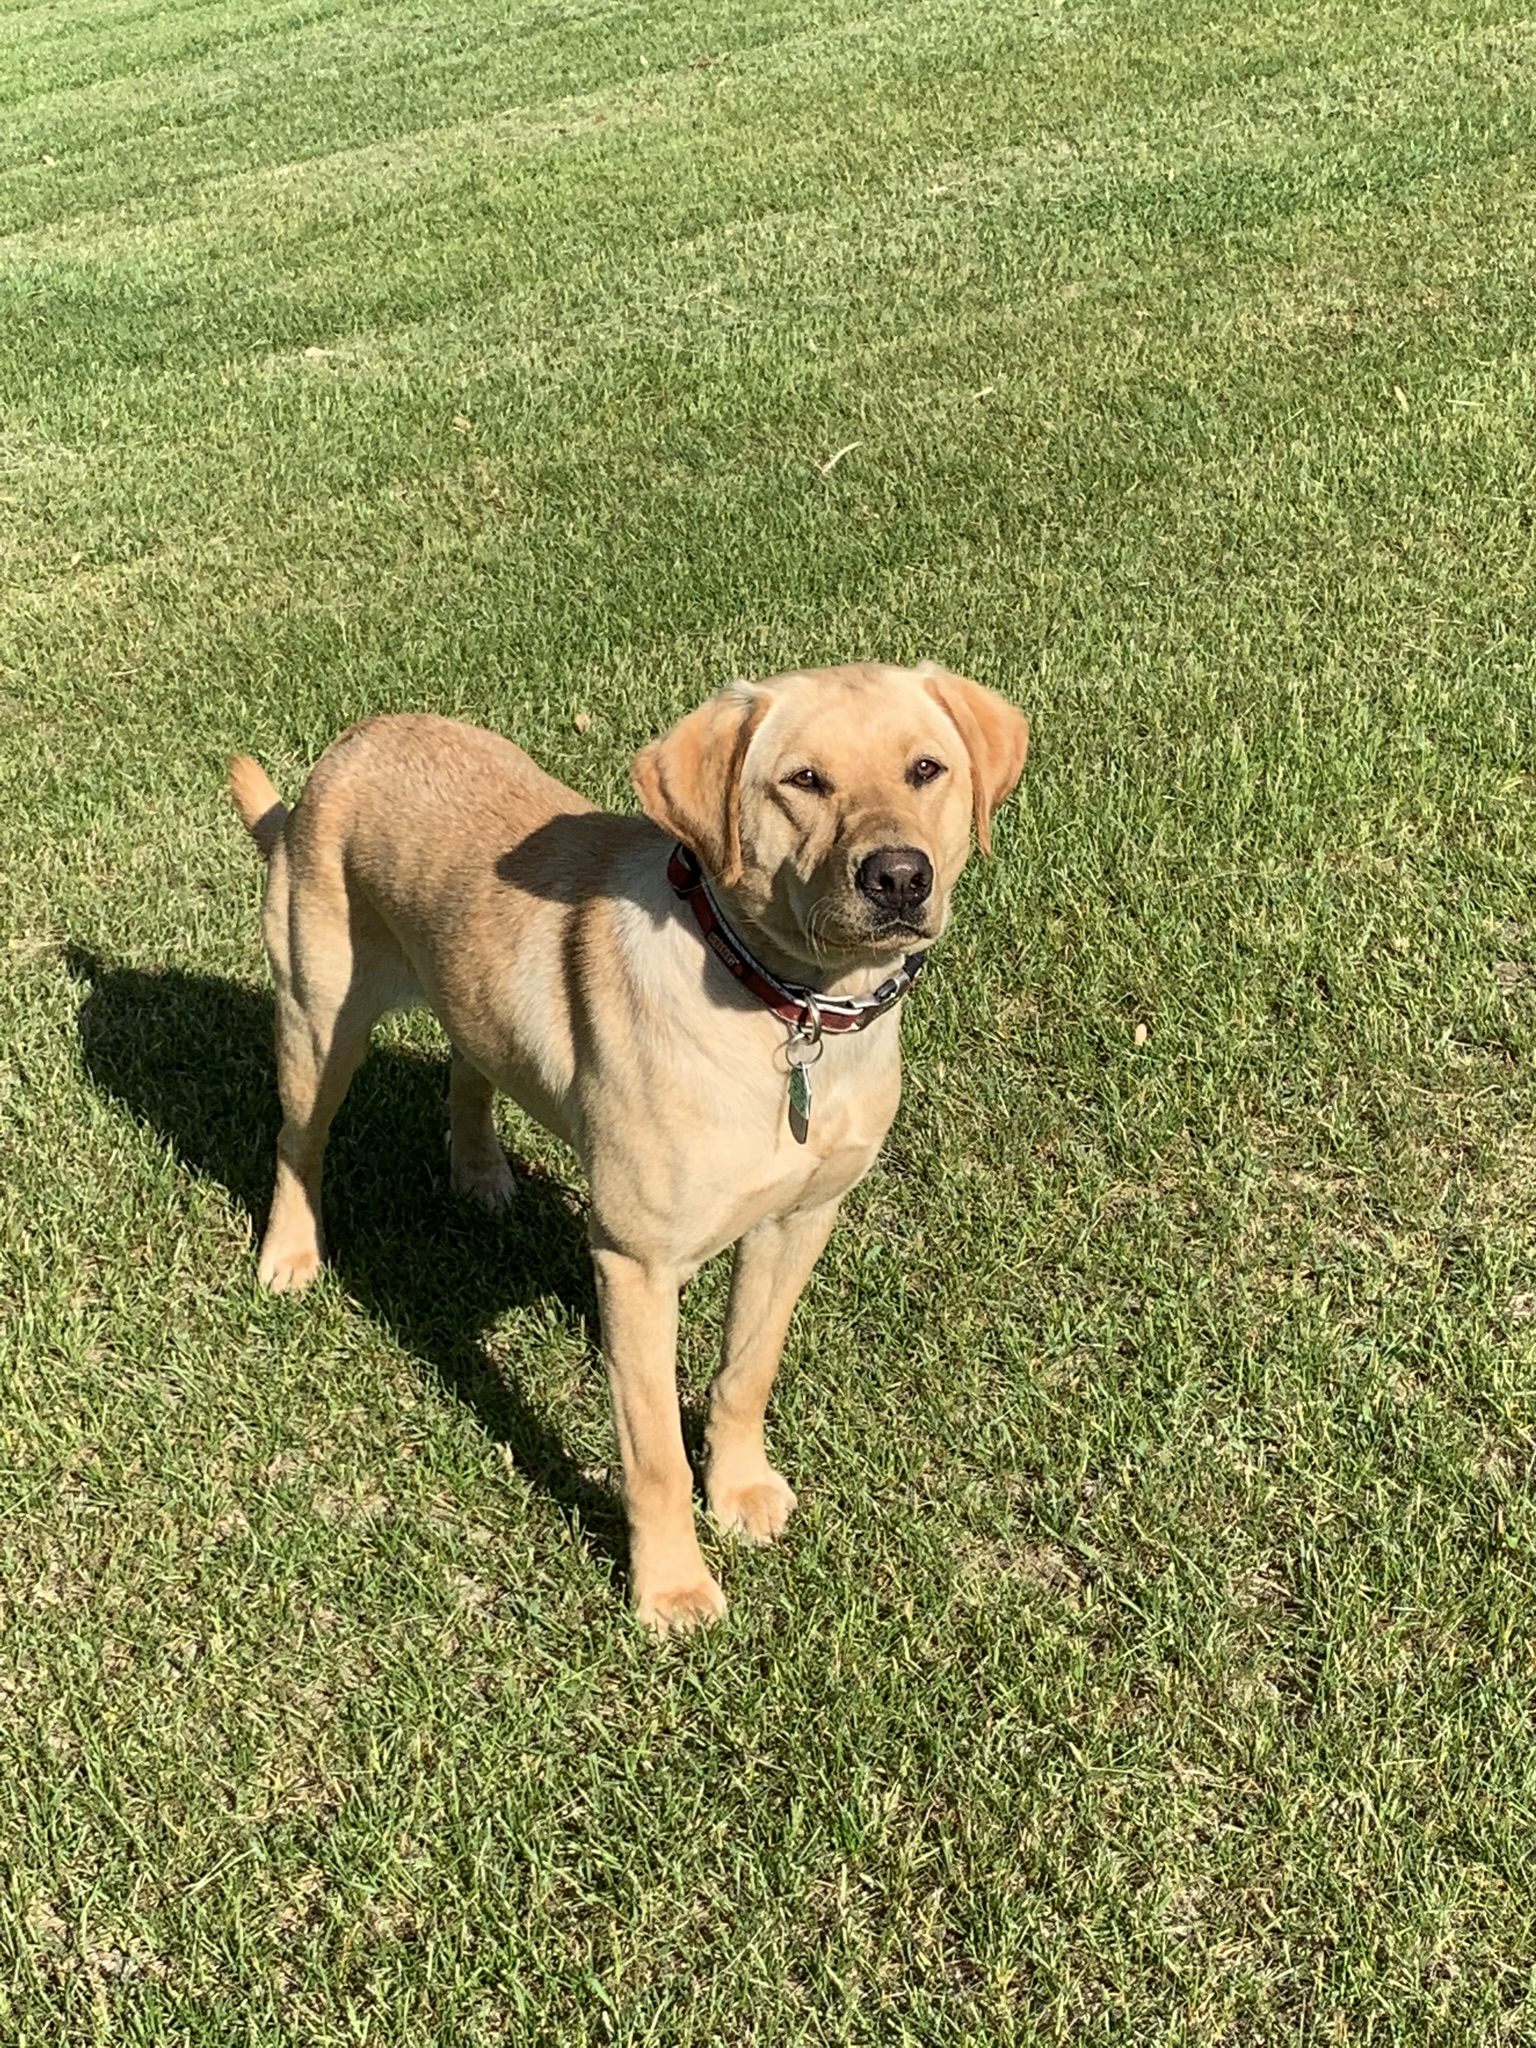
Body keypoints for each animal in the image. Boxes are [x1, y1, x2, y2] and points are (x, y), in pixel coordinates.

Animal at [231, 663, 1036, 1622]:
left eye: (926, 769)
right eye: (803, 780)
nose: (900, 877)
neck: (787, 1008)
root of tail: (342, 751)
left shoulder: (799, 1220)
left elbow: (746, 1374)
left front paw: (741, 1492)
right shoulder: (636, 1261)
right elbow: (653, 1456)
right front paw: (672, 1588)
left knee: (470, 1065)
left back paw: (481, 1174)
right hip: (319, 1023)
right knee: (297, 1143)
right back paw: (290, 1256)